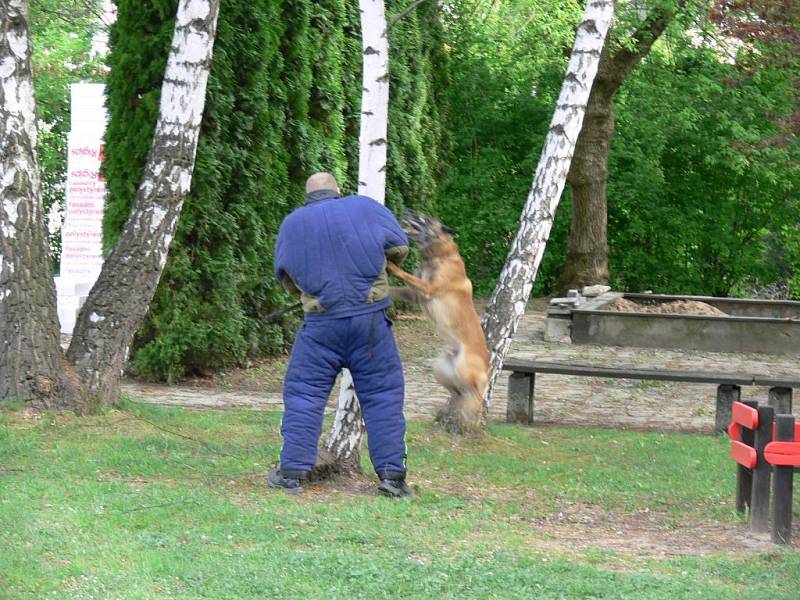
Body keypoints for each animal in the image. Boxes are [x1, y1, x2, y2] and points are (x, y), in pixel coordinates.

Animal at [386, 211, 490, 432]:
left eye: (422, 217)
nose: (406, 211)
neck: (439, 256)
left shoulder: (427, 288)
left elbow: (404, 274)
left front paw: (391, 266)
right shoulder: (413, 294)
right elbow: (395, 289)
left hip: (463, 368)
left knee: (476, 397)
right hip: (441, 370)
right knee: (459, 393)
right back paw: (449, 414)